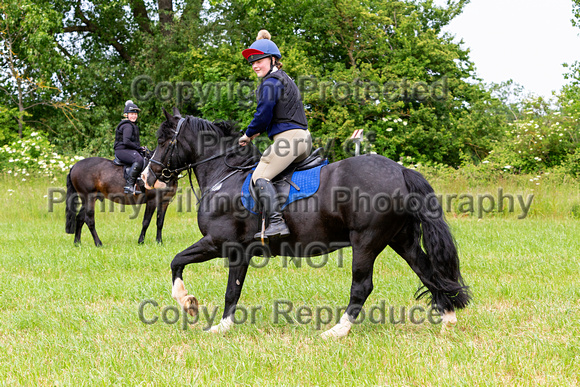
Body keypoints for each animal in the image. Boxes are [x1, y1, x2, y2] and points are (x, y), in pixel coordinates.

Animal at [143, 107, 468, 338]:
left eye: (162, 140)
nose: (147, 177)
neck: (224, 175)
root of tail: (400, 170)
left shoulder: (222, 243)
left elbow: (190, 268)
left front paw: (198, 310)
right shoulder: (239, 251)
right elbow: (219, 281)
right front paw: (203, 312)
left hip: (367, 241)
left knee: (363, 286)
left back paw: (337, 331)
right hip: (401, 240)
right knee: (427, 271)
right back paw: (448, 320)